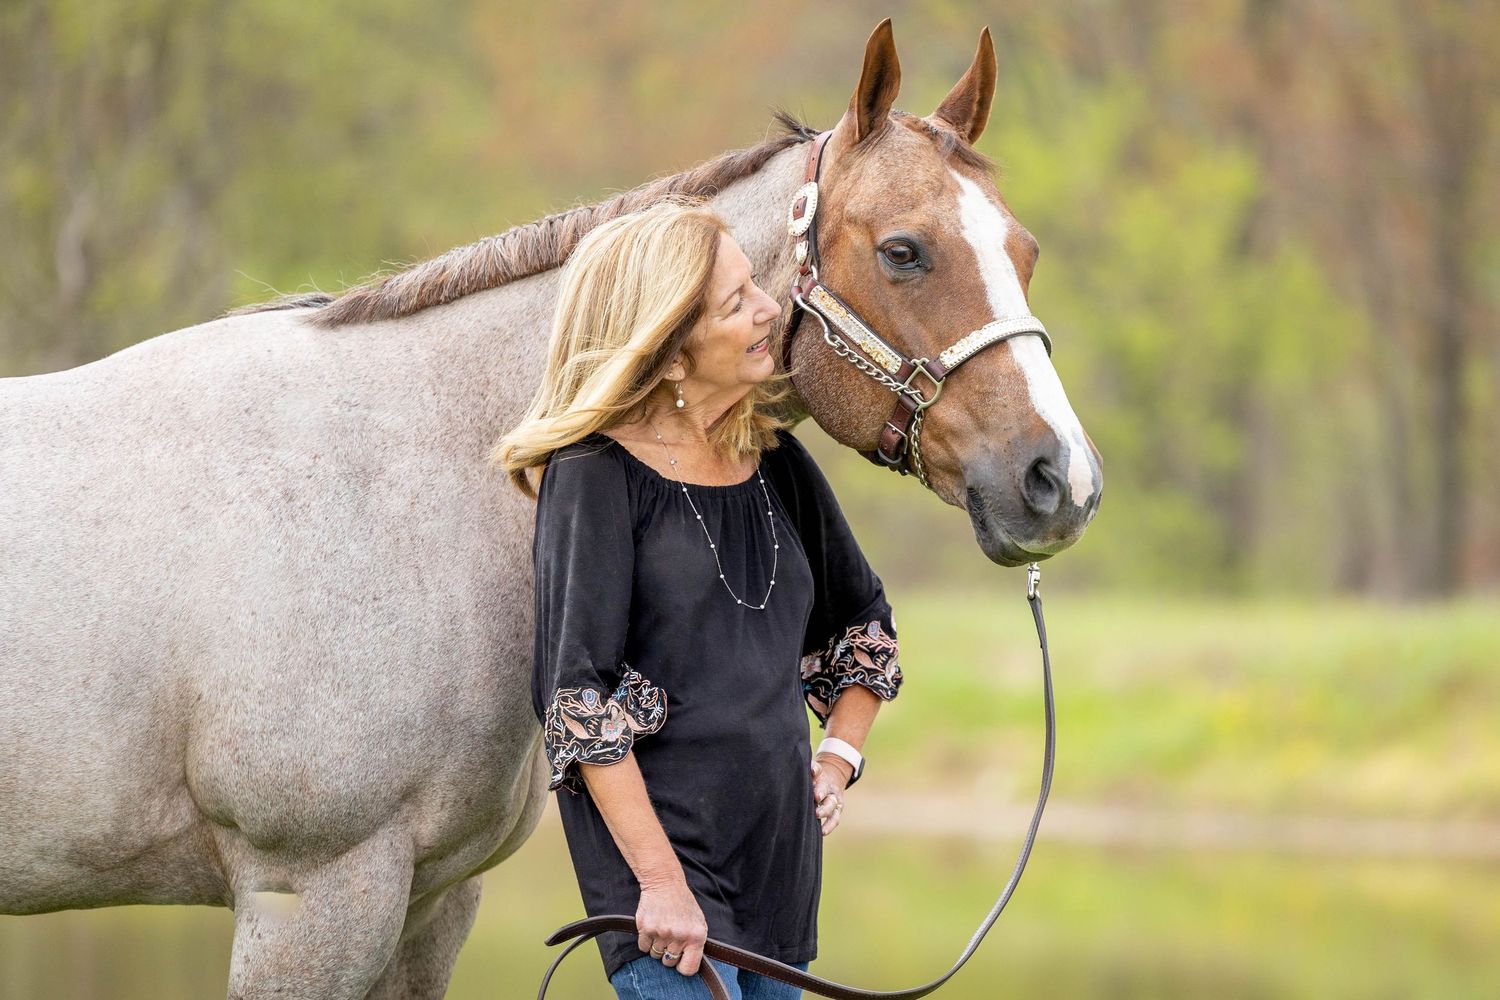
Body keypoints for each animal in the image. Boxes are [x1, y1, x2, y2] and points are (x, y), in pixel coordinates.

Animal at [0, 19, 1101, 999]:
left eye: (1025, 249)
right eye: (906, 250)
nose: (1062, 479)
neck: (408, 480)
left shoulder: (429, 903)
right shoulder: (311, 898)